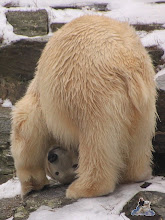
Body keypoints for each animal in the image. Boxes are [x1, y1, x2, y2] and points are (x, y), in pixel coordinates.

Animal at [10, 14, 156, 199]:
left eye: (72, 166)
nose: (53, 157)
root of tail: (128, 64)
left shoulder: (43, 100)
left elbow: (27, 129)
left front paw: (31, 185)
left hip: (91, 91)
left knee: (97, 138)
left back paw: (83, 188)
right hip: (144, 101)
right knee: (140, 136)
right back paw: (136, 173)